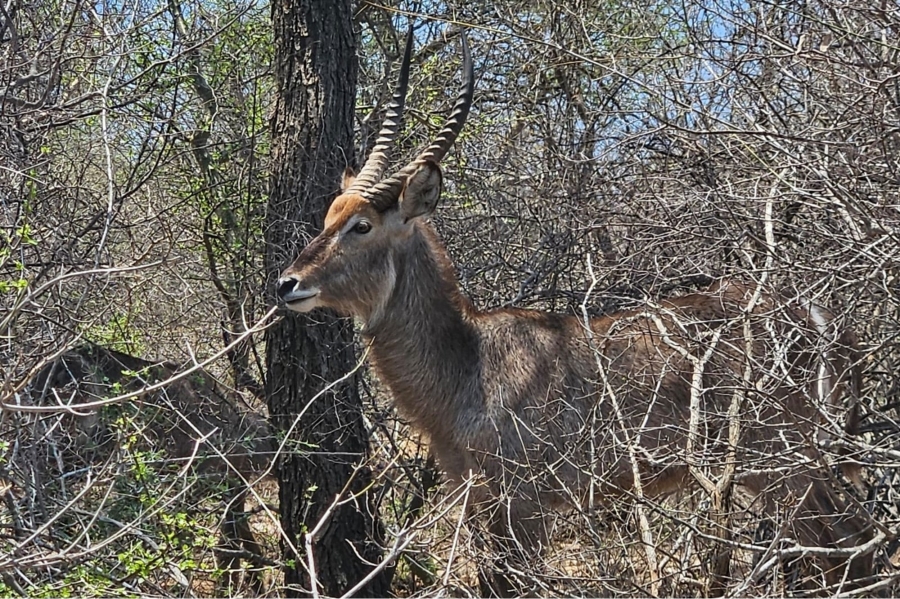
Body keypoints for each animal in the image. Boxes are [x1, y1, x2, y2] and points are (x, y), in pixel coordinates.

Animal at [278, 29, 876, 599]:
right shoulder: (479, 501)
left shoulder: (523, 505)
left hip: (781, 465)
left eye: (362, 225)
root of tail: (820, 317)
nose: (288, 284)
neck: (469, 358)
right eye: (329, 215)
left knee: (854, 546)